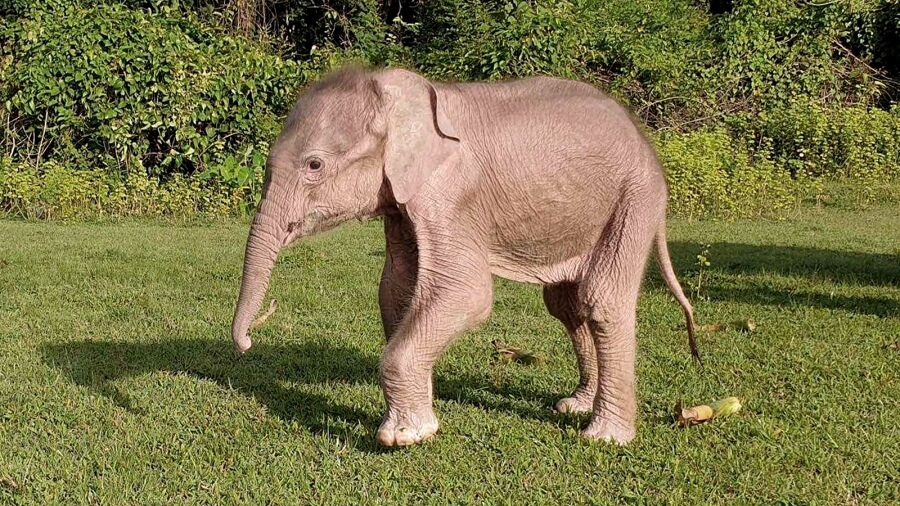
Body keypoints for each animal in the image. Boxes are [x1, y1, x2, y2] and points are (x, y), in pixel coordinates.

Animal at [230, 66, 696, 446]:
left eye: (314, 166)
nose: (248, 343)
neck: (398, 92)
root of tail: (644, 139)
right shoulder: (403, 200)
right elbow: (397, 290)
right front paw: (418, 415)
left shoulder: (452, 195)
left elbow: (466, 293)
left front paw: (404, 436)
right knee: (565, 303)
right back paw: (574, 406)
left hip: (635, 197)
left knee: (602, 300)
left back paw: (605, 436)